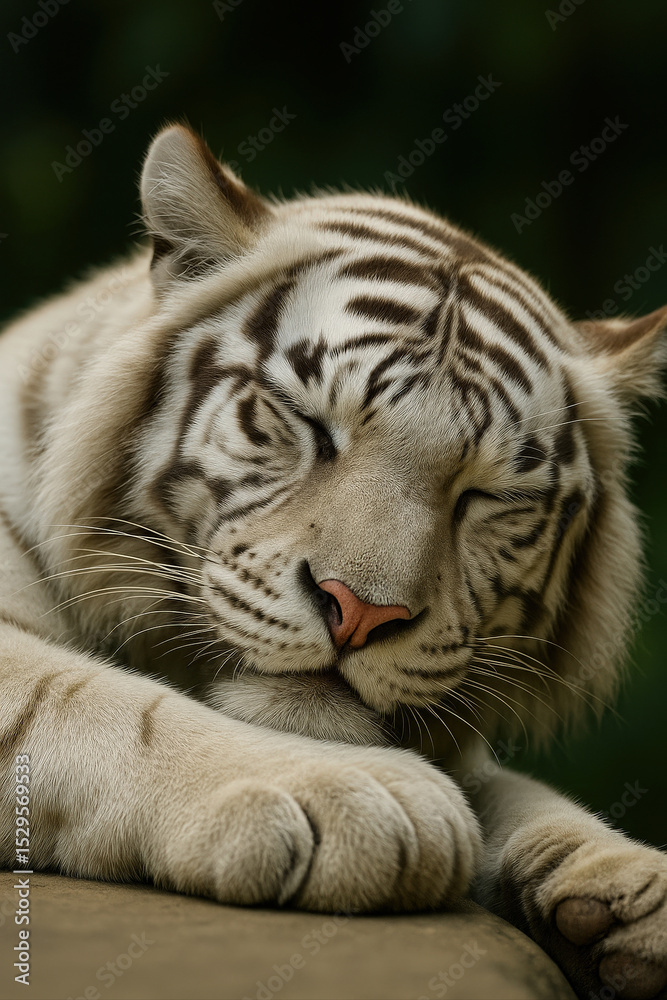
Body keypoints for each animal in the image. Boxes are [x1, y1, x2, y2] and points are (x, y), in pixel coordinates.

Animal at [1, 123, 666, 1000]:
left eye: (485, 493)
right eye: (308, 423)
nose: (360, 611)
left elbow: (519, 793)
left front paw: (627, 886)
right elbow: (88, 699)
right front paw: (365, 795)